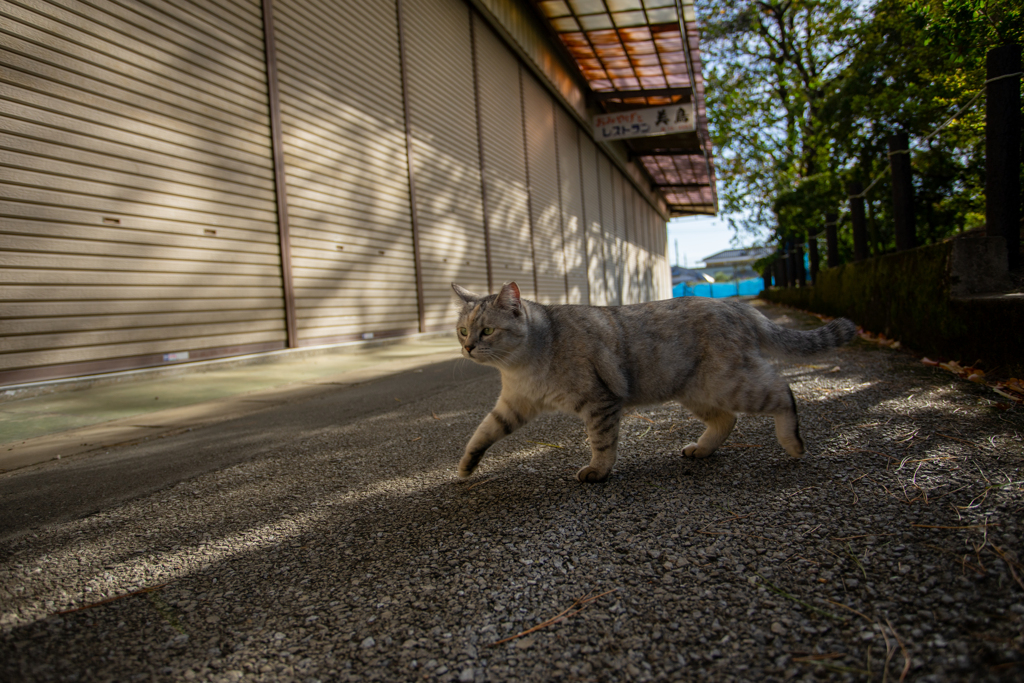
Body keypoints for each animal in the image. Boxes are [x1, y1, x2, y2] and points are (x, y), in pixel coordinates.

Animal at [452, 280, 860, 483]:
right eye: (462, 331)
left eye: (487, 331)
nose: (468, 348)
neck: (523, 365)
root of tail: (737, 304)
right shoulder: (512, 405)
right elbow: (481, 433)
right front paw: (466, 468)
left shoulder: (600, 402)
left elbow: (602, 444)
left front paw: (598, 472)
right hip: (698, 392)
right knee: (726, 420)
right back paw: (701, 449)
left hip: (732, 384)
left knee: (783, 391)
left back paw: (793, 443)